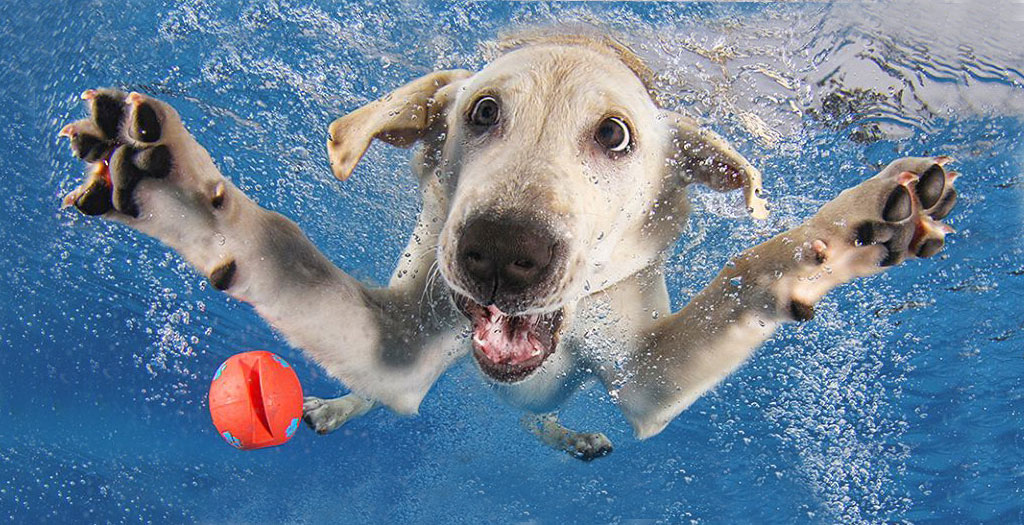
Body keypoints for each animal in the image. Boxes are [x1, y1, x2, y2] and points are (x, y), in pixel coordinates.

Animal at [58, 32, 959, 461]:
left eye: (616, 134)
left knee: (529, 416)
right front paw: (178, 187)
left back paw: (572, 436)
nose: (501, 252)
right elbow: (286, 252)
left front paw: (860, 225)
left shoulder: (651, 377)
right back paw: (334, 405)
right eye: (482, 112)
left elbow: (749, 262)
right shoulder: (401, 336)